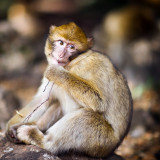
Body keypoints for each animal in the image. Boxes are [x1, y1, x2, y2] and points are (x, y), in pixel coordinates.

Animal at [5, 22, 132, 158]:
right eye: (61, 43)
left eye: (72, 47)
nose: (61, 55)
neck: (70, 65)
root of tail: (113, 149)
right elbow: (42, 100)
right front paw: (10, 127)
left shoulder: (93, 64)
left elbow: (98, 101)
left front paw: (57, 73)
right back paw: (36, 125)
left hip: (102, 142)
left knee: (87, 116)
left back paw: (40, 140)